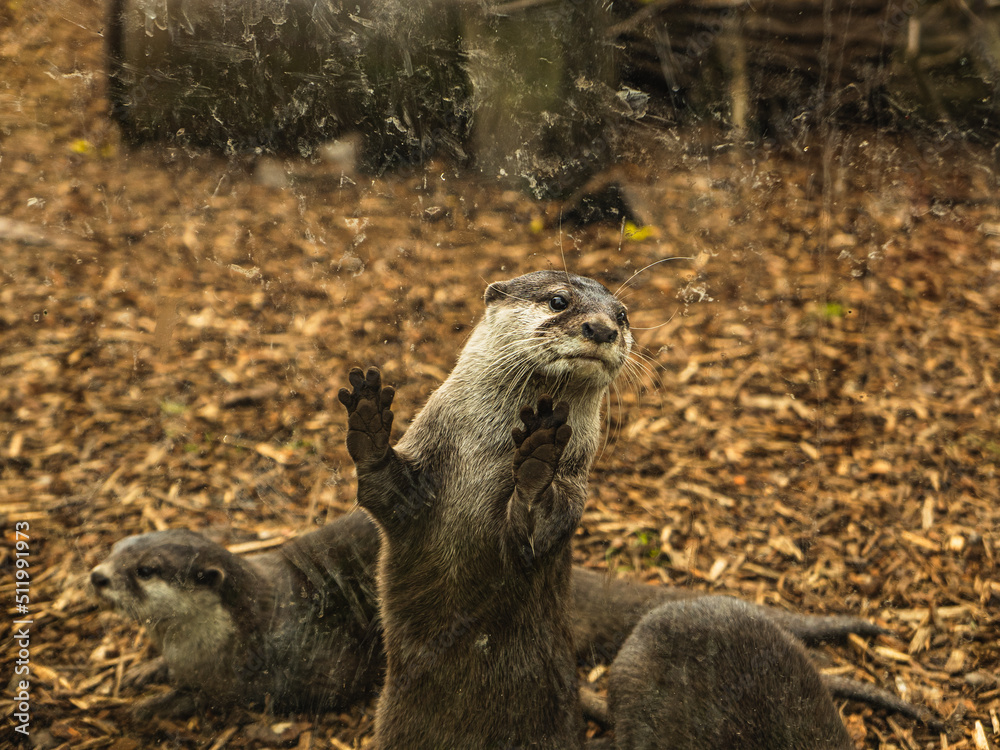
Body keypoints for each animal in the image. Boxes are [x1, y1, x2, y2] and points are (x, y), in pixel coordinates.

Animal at [338, 270, 635, 748]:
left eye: (622, 315)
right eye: (558, 300)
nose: (604, 328)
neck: (484, 455)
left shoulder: (574, 486)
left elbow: (537, 527)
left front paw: (537, 458)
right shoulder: (419, 477)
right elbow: (382, 490)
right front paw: (368, 419)